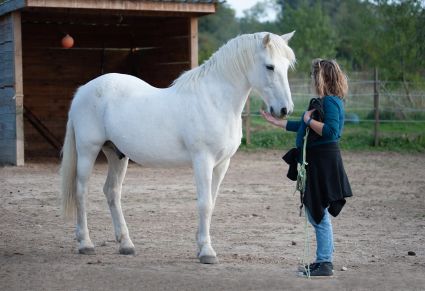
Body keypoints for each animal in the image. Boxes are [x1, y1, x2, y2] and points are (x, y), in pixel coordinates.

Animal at [60, 31, 294, 264]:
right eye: (270, 66)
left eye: (287, 66)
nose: (285, 110)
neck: (214, 101)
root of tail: (83, 90)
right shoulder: (203, 160)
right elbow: (204, 203)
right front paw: (207, 252)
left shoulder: (222, 164)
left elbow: (212, 202)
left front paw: (201, 245)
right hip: (88, 150)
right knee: (81, 191)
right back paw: (85, 243)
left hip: (116, 154)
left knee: (112, 191)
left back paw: (126, 244)